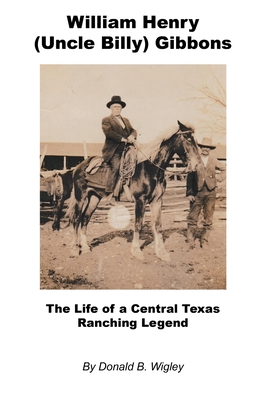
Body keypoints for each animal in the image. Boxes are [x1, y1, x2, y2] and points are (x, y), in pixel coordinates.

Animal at [66, 120, 201, 260]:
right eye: (188, 139)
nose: (197, 164)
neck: (150, 169)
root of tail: (78, 167)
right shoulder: (140, 200)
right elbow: (138, 225)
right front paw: (136, 251)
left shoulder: (157, 200)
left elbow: (158, 226)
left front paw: (162, 253)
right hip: (80, 197)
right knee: (76, 219)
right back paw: (75, 249)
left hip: (94, 197)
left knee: (85, 218)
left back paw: (85, 248)